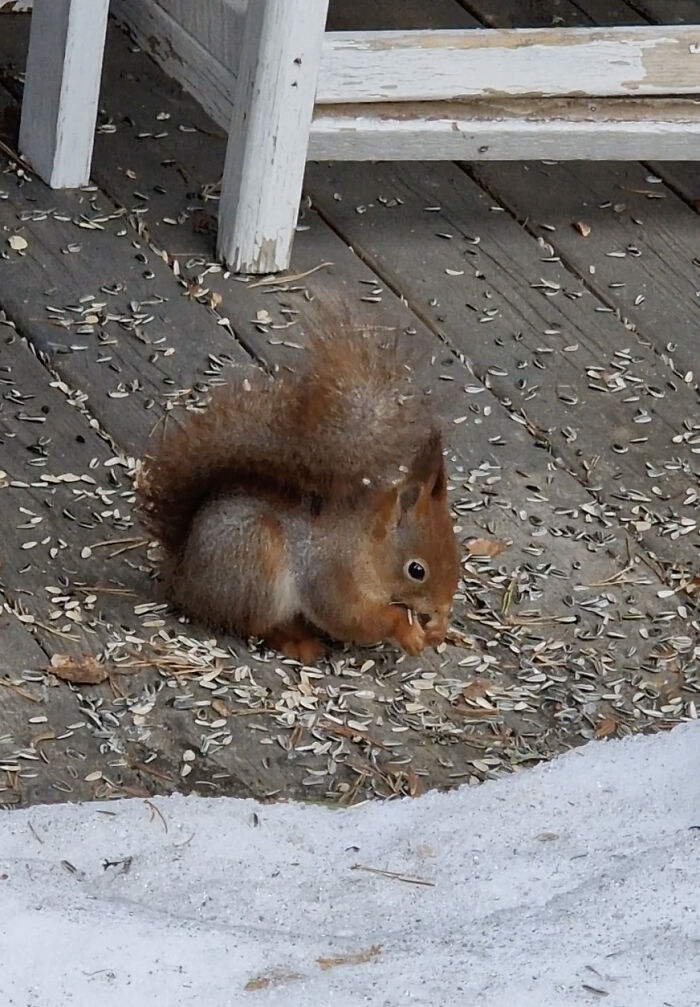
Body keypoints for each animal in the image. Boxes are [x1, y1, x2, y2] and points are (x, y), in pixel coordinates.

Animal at [138, 326, 463, 664]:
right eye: (416, 570)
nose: (442, 607)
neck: (366, 545)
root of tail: (183, 576)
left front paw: (438, 627)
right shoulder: (332, 576)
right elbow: (353, 618)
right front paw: (407, 629)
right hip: (256, 567)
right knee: (255, 626)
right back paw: (299, 643)